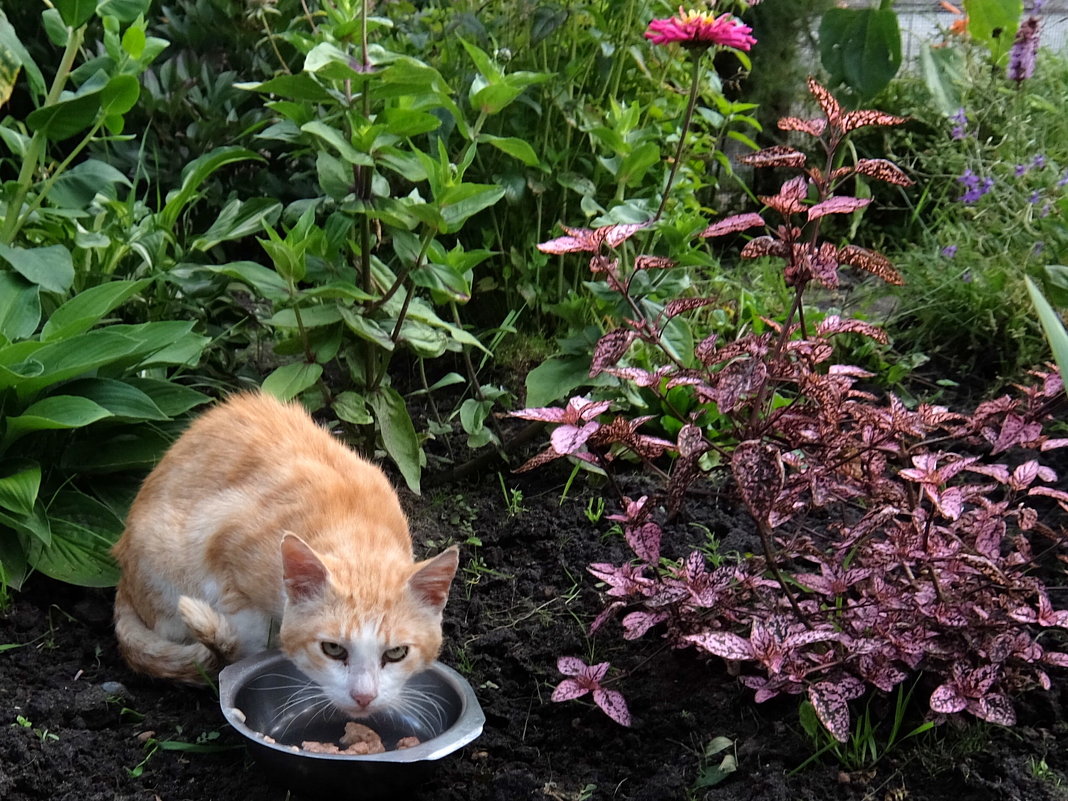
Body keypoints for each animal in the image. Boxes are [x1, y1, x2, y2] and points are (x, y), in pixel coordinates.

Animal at [110, 393, 457, 717]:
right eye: (333, 649)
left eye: (396, 653)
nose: (363, 697)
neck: (360, 537)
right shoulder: (220, 536)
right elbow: (247, 633)